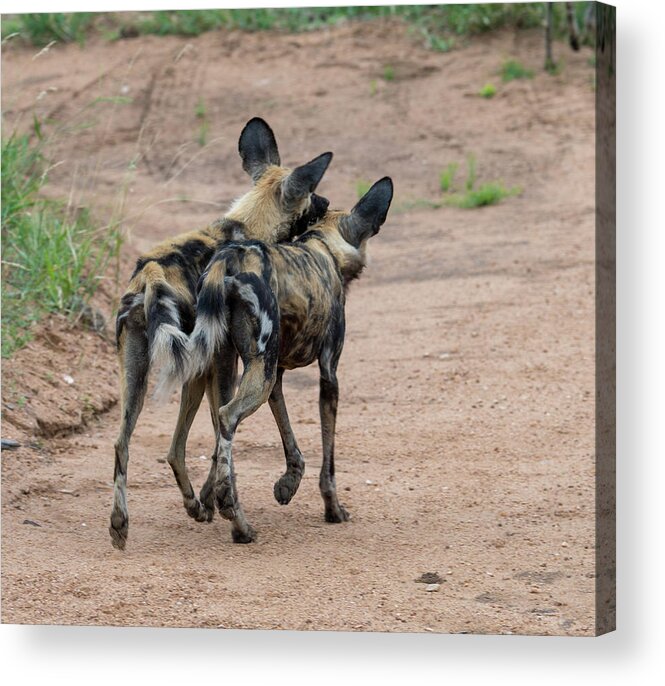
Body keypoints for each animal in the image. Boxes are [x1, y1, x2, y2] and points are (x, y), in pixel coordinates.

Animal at [112, 115, 338, 552]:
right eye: (312, 195)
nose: (326, 203)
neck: (247, 226)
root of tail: (151, 273)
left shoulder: (216, 364)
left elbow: (211, 445)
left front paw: (207, 503)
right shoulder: (229, 362)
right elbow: (222, 443)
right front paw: (223, 505)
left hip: (146, 377)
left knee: (136, 445)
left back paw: (124, 525)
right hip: (202, 369)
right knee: (195, 441)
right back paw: (240, 525)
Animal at [170, 177, 394, 544]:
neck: (323, 245)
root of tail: (228, 260)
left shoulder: (277, 376)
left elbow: (291, 445)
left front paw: (285, 485)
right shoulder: (328, 374)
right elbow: (328, 460)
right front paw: (333, 510)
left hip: (235, 368)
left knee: (219, 427)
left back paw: (225, 505)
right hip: (257, 373)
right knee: (227, 416)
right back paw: (239, 522)